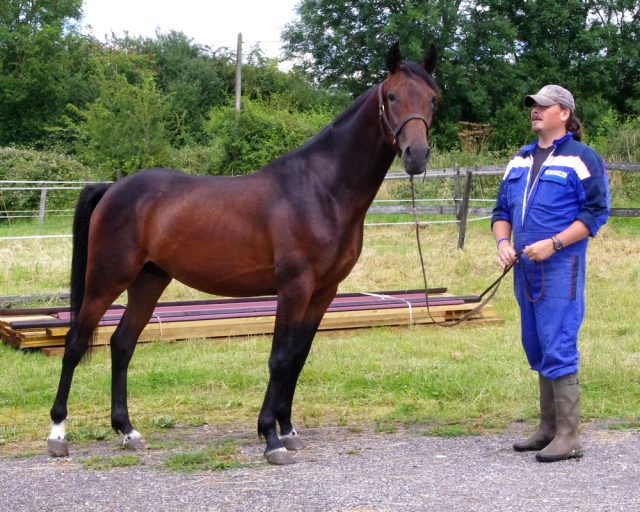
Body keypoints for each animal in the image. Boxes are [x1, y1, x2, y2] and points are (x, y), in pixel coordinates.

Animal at [47, 43, 438, 464]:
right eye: (392, 96)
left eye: (433, 98)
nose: (416, 155)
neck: (321, 190)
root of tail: (112, 189)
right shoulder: (294, 287)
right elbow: (279, 358)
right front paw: (270, 437)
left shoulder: (324, 291)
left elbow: (297, 358)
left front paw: (288, 429)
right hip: (106, 279)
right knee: (74, 343)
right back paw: (58, 434)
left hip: (149, 280)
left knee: (122, 345)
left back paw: (128, 431)